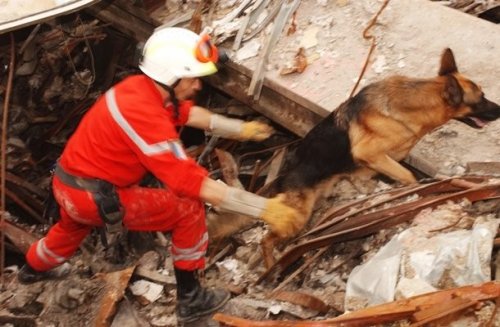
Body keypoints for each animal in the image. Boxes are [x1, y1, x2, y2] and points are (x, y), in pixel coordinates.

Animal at [207, 48, 500, 270]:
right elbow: (407, 175)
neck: (413, 104)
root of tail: (281, 176)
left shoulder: (379, 162)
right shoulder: (369, 153)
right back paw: (271, 269)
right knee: (265, 241)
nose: (499, 110)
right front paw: (414, 193)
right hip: (296, 217)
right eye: (481, 99)